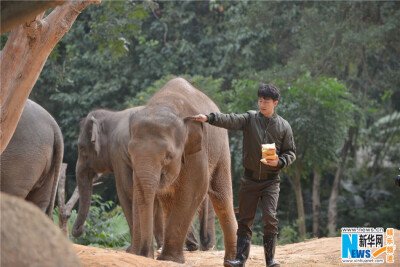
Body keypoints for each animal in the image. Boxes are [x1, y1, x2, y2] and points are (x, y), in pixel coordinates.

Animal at [71, 106, 216, 251]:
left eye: (82, 148)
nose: (79, 229)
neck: (111, 116)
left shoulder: (118, 153)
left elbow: (126, 191)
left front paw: (130, 250)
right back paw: (190, 246)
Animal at [127, 77, 238, 264]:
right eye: (130, 154)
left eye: (168, 156)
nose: (145, 253)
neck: (165, 104)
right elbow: (138, 192)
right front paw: (140, 255)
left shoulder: (197, 150)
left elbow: (195, 188)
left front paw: (168, 259)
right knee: (168, 199)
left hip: (221, 149)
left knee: (221, 197)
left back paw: (232, 261)